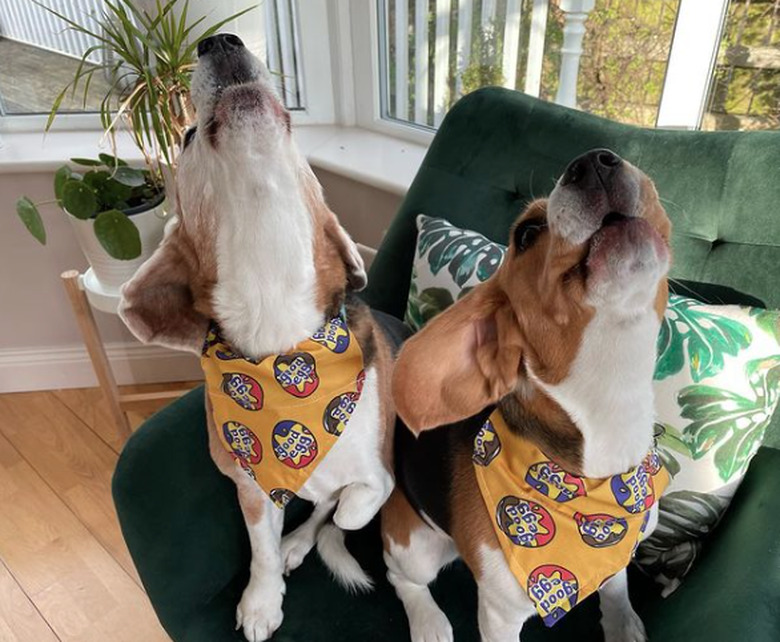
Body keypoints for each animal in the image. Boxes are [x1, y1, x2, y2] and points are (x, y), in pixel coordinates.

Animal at [118, 36, 394, 640]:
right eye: (187, 137)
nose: (220, 41)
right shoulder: (249, 489)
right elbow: (261, 548)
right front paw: (263, 599)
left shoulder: (379, 474)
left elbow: (352, 502)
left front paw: (328, 511)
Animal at [384, 151, 672, 640]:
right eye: (527, 233)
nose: (595, 161)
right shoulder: (500, 614)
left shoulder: (621, 546)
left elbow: (616, 581)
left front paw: (621, 622)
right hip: (414, 545)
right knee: (401, 577)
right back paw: (428, 622)